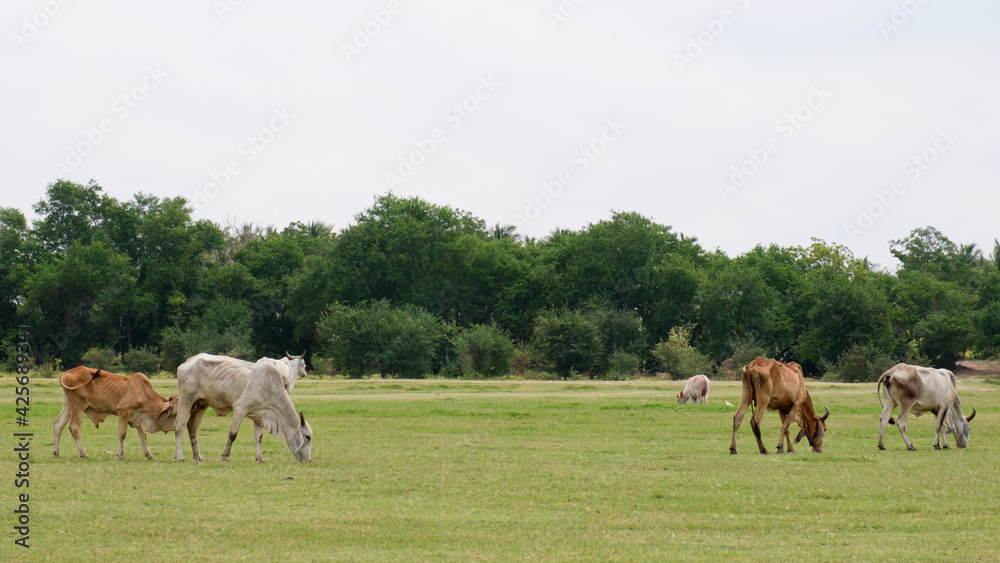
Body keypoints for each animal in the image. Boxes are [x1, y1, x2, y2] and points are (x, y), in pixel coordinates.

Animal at [174, 354, 310, 464]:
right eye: (307, 437)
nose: (308, 460)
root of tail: (188, 362)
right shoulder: (240, 408)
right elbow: (232, 434)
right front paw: (225, 456)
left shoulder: (260, 416)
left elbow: (259, 437)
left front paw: (260, 458)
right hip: (186, 399)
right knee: (179, 427)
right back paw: (179, 456)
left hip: (202, 404)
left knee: (192, 428)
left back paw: (198, 456)